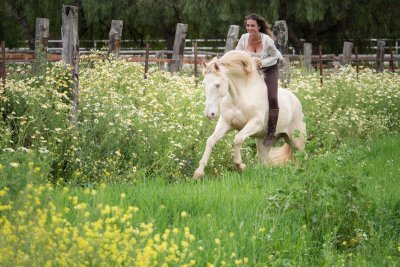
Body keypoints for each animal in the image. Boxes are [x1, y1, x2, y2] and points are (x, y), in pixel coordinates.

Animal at [193, 50, 306, 180]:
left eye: (217, 85)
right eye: (204, 84)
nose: (209, 114)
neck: (238, 98)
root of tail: (295, 100)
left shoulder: (255, 123)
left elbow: (238, 139)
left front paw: (241, 166)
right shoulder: (226, 123)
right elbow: (210, 141)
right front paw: (198, 173)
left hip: (297, 141)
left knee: (302, 157)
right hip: (263, 143)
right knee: (265, 162)